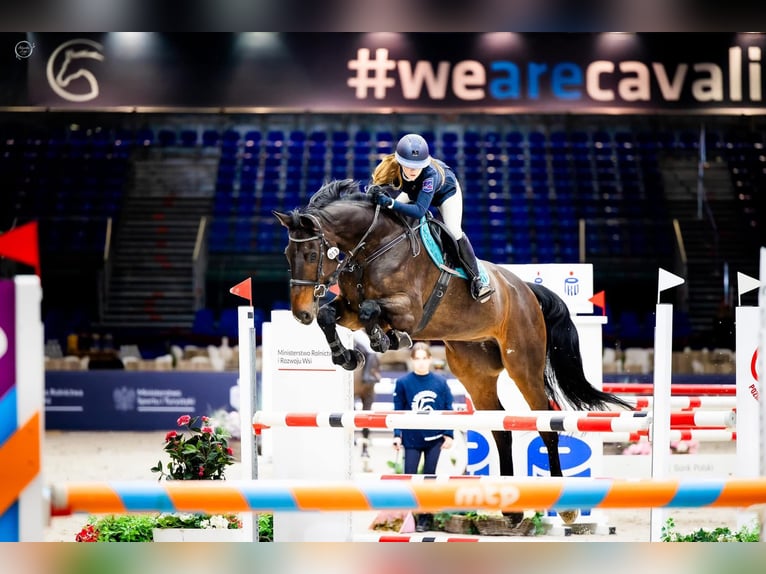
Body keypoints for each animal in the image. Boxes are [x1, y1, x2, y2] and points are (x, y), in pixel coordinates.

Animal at [272, 181, 632, 528]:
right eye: (288, 254)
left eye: (310, 252)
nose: (300, 313)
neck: (372, 246)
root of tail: (526, 290)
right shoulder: (347, 309)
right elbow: (331, 315)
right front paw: (347, 356)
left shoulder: (409, 310)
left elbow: (371, 309)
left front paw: (385, 339)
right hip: (474, 370)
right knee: (500, 426)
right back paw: (512, 511)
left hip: (522, 364)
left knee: (544, 420)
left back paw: (566, 507)